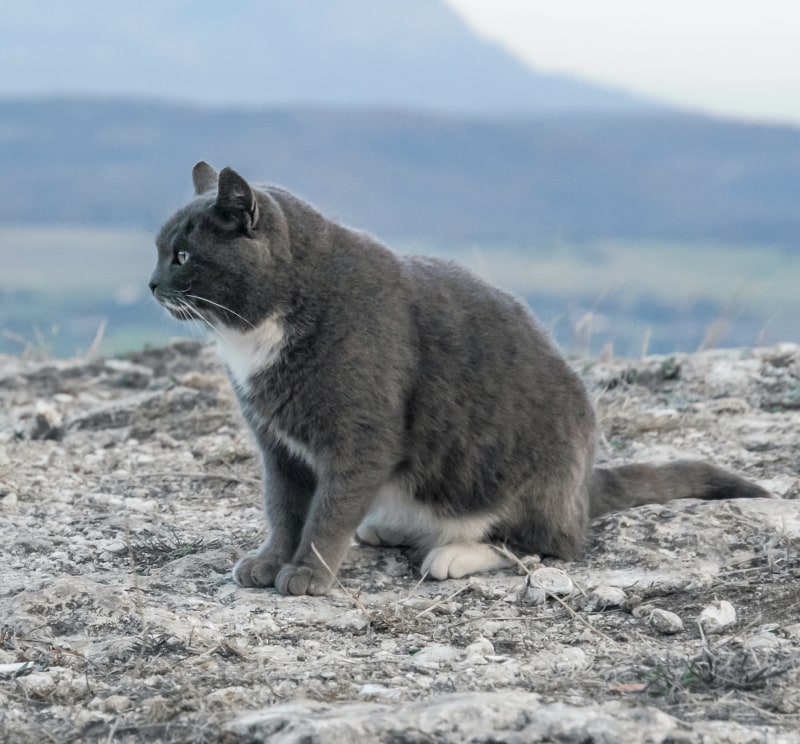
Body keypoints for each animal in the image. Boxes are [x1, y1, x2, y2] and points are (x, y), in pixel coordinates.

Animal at [150, 160, 768, 596]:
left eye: (182, 256)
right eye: (159, 251)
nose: (152, 284)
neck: (259, 337)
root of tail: (584, 486)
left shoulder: (362, 439)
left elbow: (328, 510)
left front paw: (309, 573)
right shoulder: (277, 445)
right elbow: (283, 508)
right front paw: (270, 561)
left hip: (528, 473)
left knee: (550, 545)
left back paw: (453, 552)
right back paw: (391, 527)